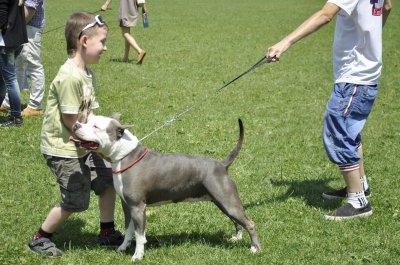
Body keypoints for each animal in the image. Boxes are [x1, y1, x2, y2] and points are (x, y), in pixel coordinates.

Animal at [70, 113, 260, 260]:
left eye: (95, 126)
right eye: (87, 121)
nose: (76, 124)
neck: (125, 155)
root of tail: (222, 164)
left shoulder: (138, 207)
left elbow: (139, 235)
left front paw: (137, 256)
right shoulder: (127, 206)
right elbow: (129, 230)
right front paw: (123, 247)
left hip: (227, 201)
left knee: (249, 223)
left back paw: (255, 248)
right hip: (222, 202)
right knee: (237, 221)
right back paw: (237, 238)